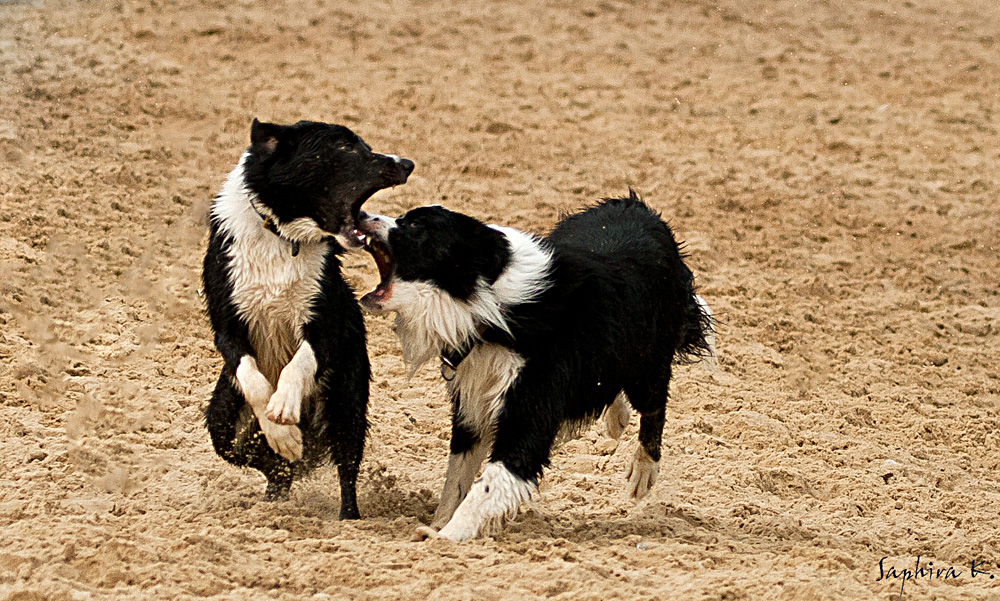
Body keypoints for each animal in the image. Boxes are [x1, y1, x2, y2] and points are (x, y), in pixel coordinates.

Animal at [201, 118, 412, 516]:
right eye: (345, 148)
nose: (406, 163)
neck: (282, 236)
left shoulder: (324, 322)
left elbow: (298, 363)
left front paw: (284, 406)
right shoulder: (227, 325)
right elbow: (253, 379)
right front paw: (281, 432)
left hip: (345, 403)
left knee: (346, 468)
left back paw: (348, 516)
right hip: (221, 416)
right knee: (260, 459)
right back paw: (279, 474)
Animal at [356, 195, 716, 540]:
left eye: (415, 225)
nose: (359, 215)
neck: (492, 309)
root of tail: (638, 207)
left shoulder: (528, 409)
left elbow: (490, 482)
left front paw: (446, 536)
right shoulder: (473, 404)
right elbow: (456, 478)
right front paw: (440, 523)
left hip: (648, 358)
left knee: (654, 405)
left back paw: (643, 471)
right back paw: (617, 419)